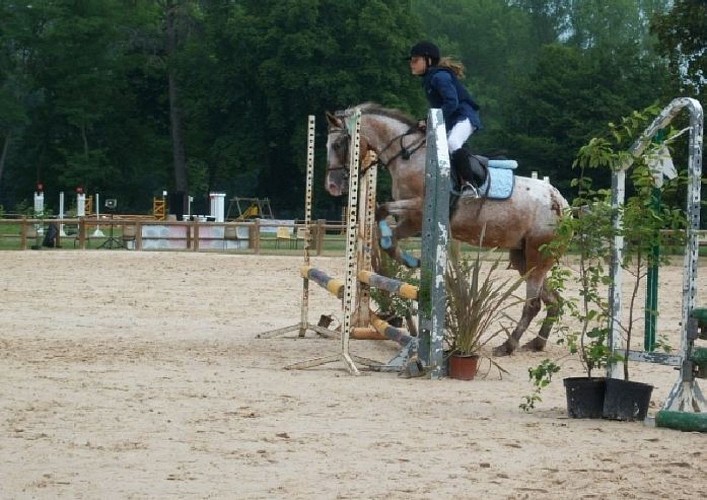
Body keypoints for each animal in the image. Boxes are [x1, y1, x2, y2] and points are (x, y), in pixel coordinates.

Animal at [324, 102, 568, 356]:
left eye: (338, 144)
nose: (332, 186)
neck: (408, 158)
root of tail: (562, 203)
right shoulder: (412, 220)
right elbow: (383, 237)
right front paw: (405, 263)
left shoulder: (418, 208)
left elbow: (382, 212)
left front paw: (410, 262)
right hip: (523, 257)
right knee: (553, 300)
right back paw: (537, 342)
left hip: (537, 255)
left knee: (533, 304)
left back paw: (508, 345)